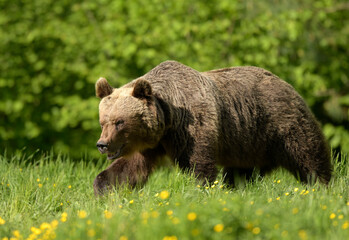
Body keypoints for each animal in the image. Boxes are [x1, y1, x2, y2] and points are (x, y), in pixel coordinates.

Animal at [92, 60, 332, 195]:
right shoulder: (150, 143)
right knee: (242, 172)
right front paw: (104, 188)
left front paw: (201, 190)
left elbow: (198, 165)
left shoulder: (193, 127)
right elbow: (128, 168)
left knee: (307, 154)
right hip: (249, 142)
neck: (168, 121)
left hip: (279, 125)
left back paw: (322, 185)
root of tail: (286, 84)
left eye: (120, 122)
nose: (102, 144)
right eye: (103, 121)